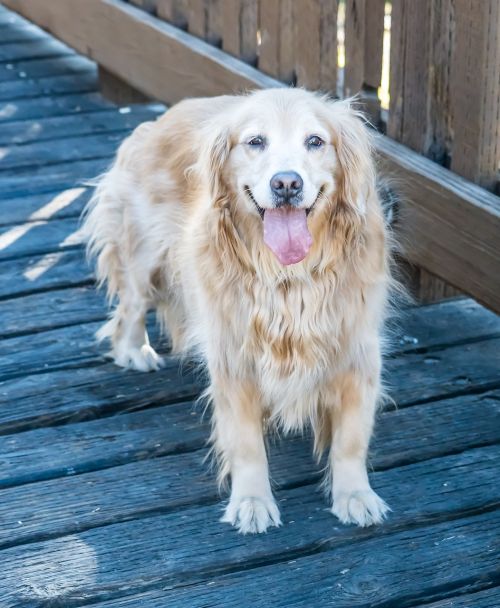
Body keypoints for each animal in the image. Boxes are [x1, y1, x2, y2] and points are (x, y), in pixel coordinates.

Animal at [84, 88, 392, 536]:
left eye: (315, 141)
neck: (288, 278)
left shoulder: (357, 352)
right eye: (255, 142)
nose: (287, 183)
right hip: (144, 255)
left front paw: (355, 495)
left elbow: (350, 440)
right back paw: (133, 350)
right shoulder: (234, 360)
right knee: (130, 306)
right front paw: (252, 502)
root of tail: (161, 119)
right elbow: (247, 445)